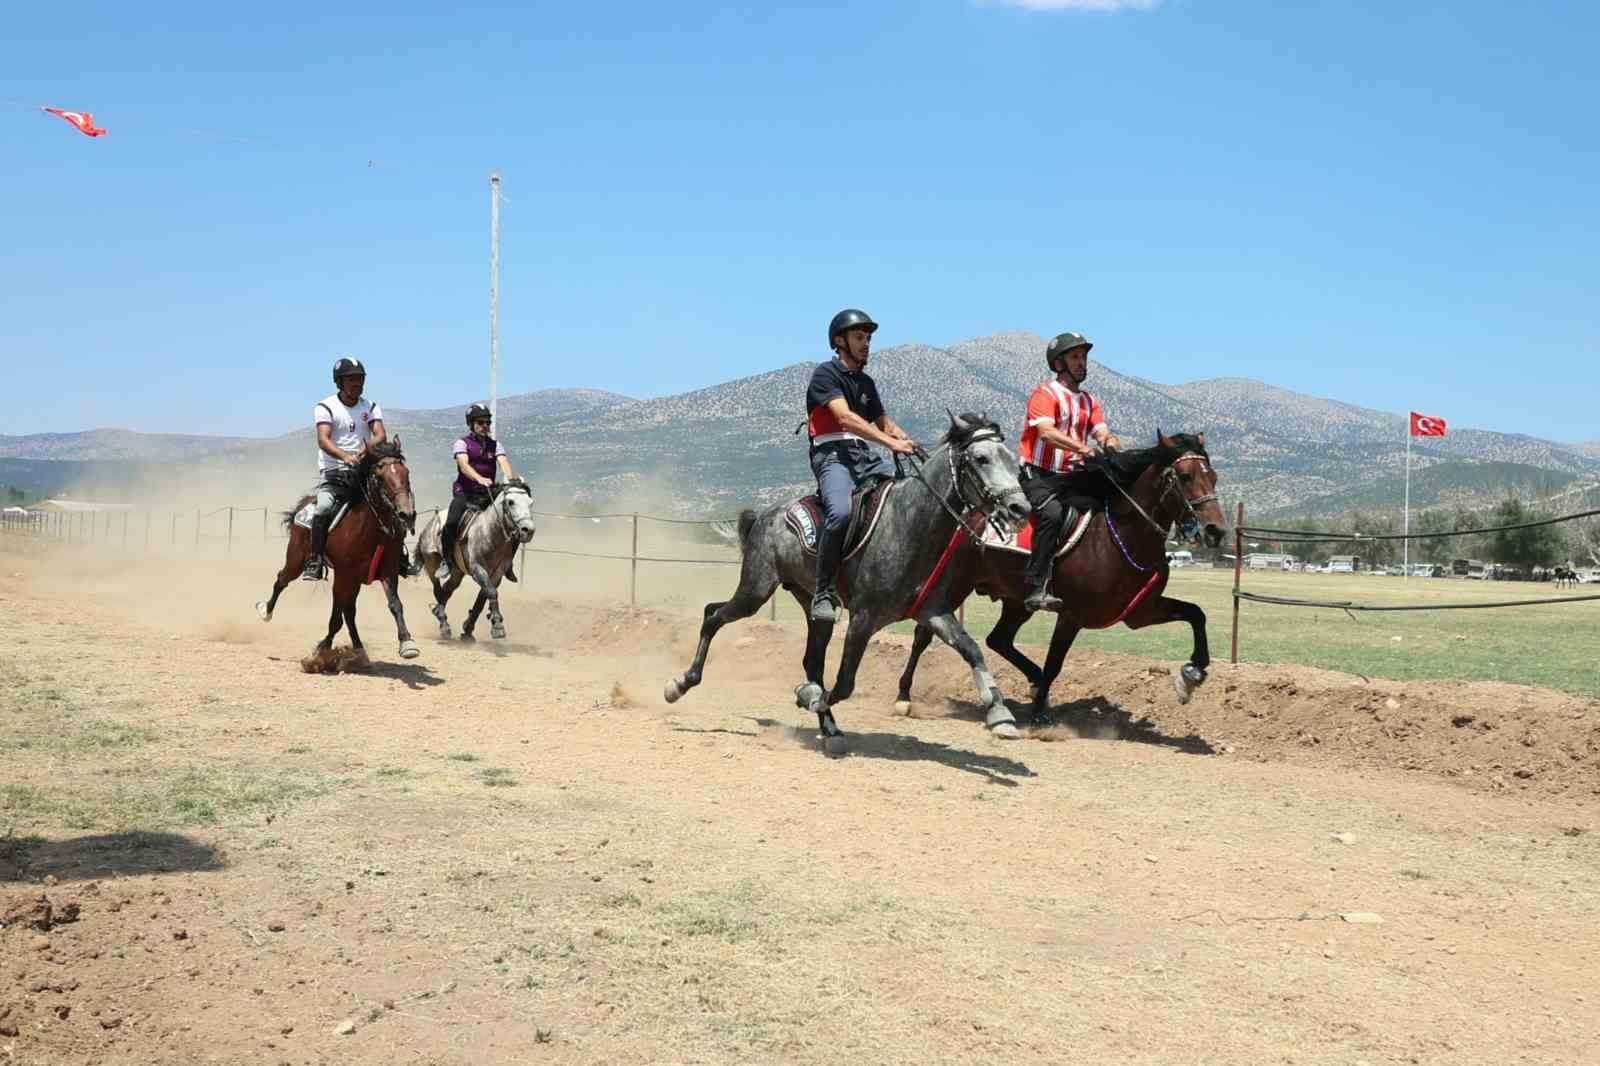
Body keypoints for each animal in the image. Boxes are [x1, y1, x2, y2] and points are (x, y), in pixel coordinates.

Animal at [254, 435, 419, 659]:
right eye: (380, 477)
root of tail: (305, 505)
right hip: (296, 559)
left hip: (354, 579)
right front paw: (322, 648)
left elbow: (395, 604)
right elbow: (336, 617)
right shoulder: (343, 575)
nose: (406, 514)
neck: (371, 529)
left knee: (349, 611)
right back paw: (266, 611)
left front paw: (407, 643)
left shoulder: (387, 571)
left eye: (406, 473)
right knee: (282, 579)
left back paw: (359, 648)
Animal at [412, 480, 537, 640]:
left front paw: (468, 628)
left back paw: (439, 613)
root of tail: (429, 526)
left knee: (447, 589)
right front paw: (498, 626)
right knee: (437, 589)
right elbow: (491, 592)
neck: (489, 532)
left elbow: (483, 597)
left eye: (530, 502)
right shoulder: (477, 568)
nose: (528, 530)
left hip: (457, 572)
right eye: (510, 502)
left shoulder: (497, 573)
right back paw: (443, 622)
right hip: (431, 563)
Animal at [665, 409, 1030, 752]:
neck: (908, 523)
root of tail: (763, 517)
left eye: (1013, 461)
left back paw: (830, 730)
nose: (1019, 508)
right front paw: (809, 696)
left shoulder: (932, 611)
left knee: (806, 657)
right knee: (714, 617)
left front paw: (1000, 714)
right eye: (981, 458)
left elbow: (972, 650)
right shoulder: (863, 620)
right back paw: (680, 684)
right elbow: (844, 683)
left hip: (809, 603)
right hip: (755, 590)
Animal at [902, 428, 1222, 723]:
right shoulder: (1072, 615)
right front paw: (1040, 714)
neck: (1117, 537)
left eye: (1214, 477)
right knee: (924, 633)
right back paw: (903, 696)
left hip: (1017, 601)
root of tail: (967, 514)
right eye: (1185, 476)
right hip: (955, 583)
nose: (1215, 530)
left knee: (998, 640)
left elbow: (1196, 614)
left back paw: (1033, 680)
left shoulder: (1140, 611)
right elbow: (1054, 662)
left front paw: (1191, 674)